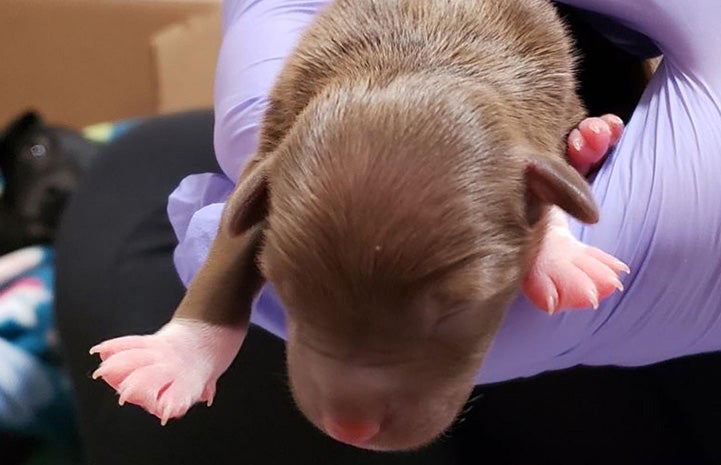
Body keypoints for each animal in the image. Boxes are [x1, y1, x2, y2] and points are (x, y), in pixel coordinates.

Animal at [88, 0, 624, 452]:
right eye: (287, 293)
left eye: (458, 311)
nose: (350, 430)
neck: (417, 62)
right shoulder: (268, 164)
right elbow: (225, 259)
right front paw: (174, 356)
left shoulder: (541, 114)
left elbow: (550, 180)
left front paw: (562, 254)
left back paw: (593, 137)